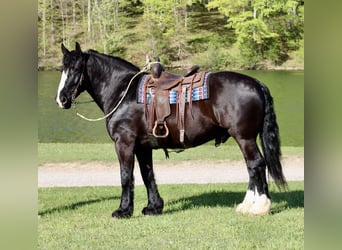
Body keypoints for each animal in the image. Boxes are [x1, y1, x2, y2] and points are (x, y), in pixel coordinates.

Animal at [55, 42, 286, 218]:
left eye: (76, 69)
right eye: (62, 69)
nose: (61, 99)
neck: (123, 91)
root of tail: (256, 83)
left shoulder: (125, 143)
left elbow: (126, 175)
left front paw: (123, 210)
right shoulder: (142, 147)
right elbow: (147, 174)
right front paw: (153, 207)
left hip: (244, 138)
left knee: (256, 165)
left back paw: (258, 207)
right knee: (253, 167)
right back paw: (248, 205)